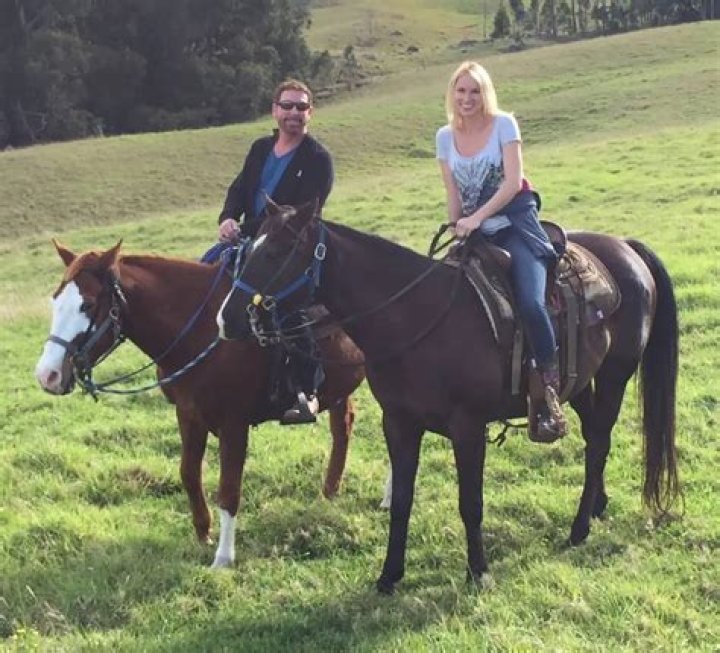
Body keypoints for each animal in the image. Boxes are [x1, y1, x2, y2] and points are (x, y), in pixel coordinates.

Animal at [34, 241, 365, 568]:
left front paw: (223, 558)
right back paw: (329, 493)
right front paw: (203, 534)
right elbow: (189, 474)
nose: (47, 375)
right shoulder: (188, 413)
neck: (202, 330)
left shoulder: (234, 423)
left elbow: (228, 489)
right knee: (343, 428)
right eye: (55, 301)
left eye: (87, 305)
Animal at [217, 202, 680, 593]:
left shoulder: (468, 428)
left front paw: (479, 572)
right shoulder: (399, 424)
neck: (419, 319)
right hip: (579, 382)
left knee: (599, 440)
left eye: (277, 252)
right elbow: (402, 501)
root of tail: (625, 247)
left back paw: (580, 527)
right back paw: (597, 505)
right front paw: (389, 576)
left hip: (616, 373)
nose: (227, 318)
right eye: (249, 249)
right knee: (592, 439)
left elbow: (470, 502)